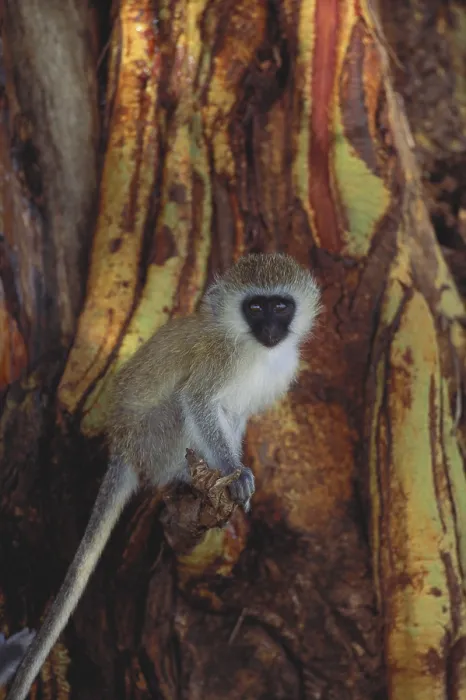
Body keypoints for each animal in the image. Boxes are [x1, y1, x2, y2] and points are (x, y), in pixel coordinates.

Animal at [7, 252, 320, 699]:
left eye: (280, 306)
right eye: (255, 307)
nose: (271, 329)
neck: (251, 347)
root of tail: (122, 445)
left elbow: (232, 416)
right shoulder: (219, 360)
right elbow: (199, 401)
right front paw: (233, 472)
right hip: (153, 441)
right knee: (177, 407)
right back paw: (182, 480)